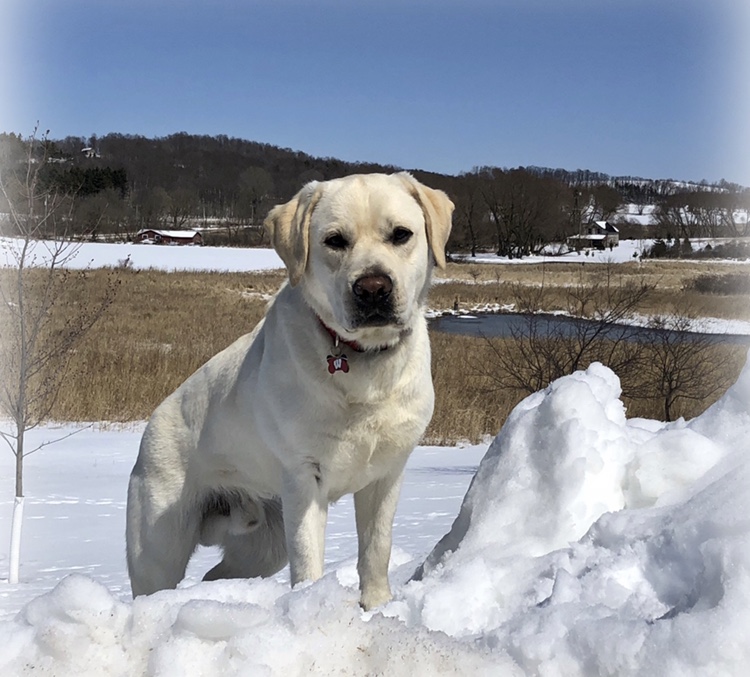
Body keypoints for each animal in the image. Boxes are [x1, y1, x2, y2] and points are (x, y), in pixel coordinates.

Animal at [126, 172, 456, 608]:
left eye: (401, 234)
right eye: (335, 240)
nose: (372, 288)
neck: (363, 364)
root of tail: (152, 421)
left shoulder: (386, 474)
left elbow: (376, 550)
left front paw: (377, 607)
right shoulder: (305, 478)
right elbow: (308, 559)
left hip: (264, 544)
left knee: (217, 575)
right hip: (158, 546)